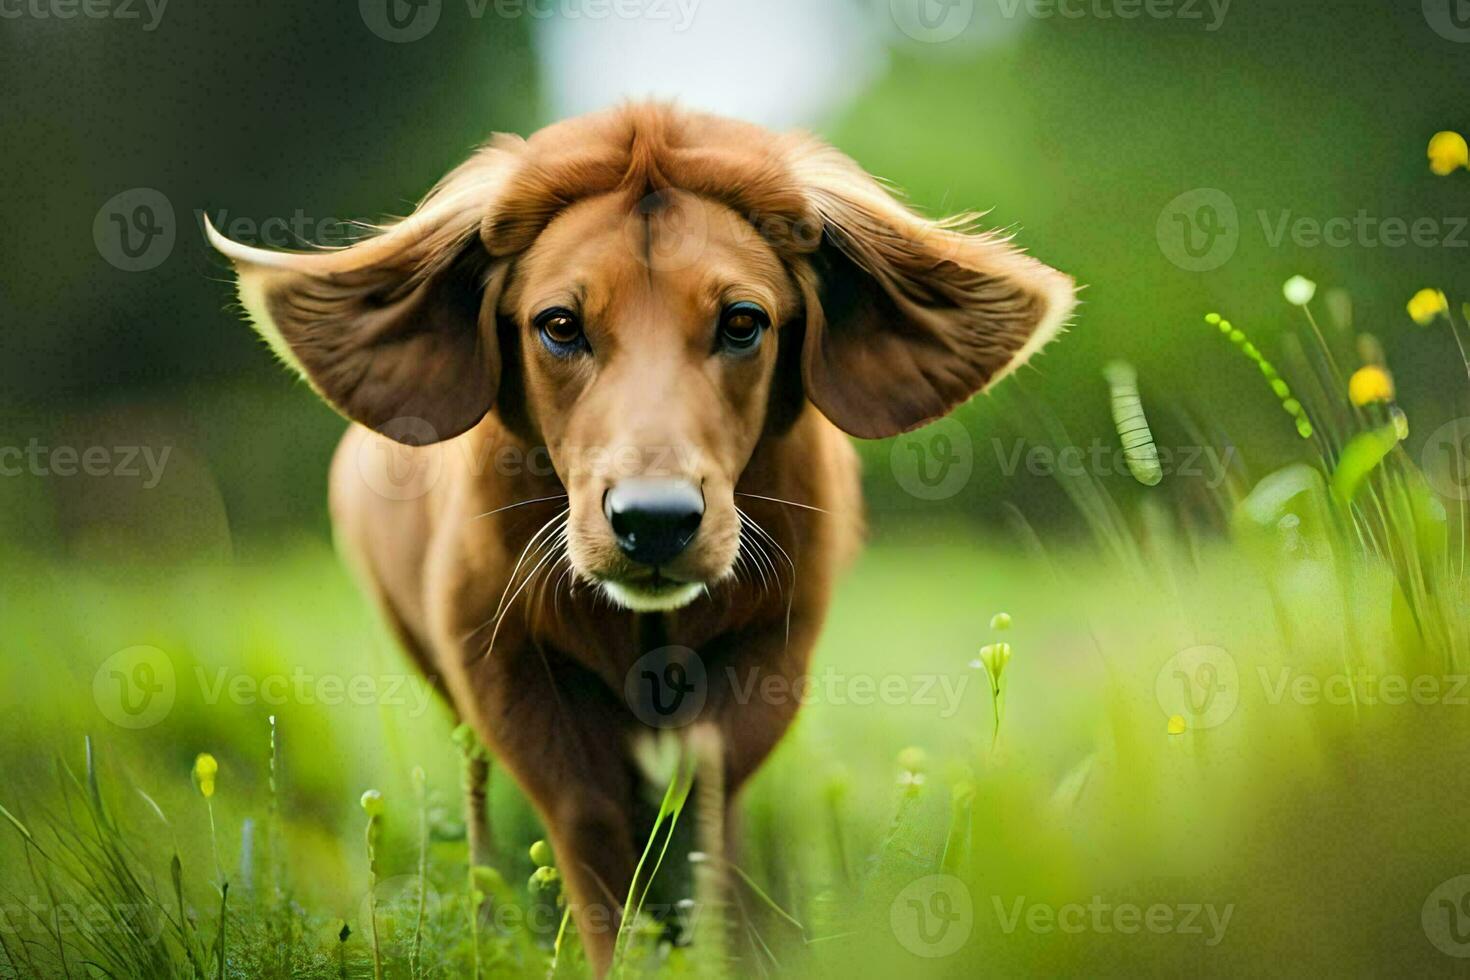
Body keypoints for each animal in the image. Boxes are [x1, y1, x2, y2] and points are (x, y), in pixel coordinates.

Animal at [207, 103, 1076, 969]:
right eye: (560, 324)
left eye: (742, 322)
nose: (654, 521)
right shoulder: (500, 663)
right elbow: (591, 829)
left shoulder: (770, 651)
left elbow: (703, 818)